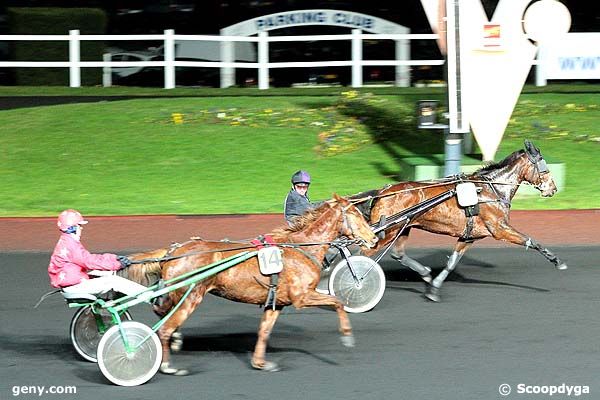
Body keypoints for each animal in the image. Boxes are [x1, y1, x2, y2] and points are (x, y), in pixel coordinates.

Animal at [129, 194, 378, 376]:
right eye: (355, 214)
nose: (374, 239)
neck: (302, 247)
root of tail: (174, 250)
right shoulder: (302, 297)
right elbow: (337, 301)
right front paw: (347, 335)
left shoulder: (276, 303)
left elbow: (264, 331)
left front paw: (260, 363)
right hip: (191, 295)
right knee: (165, 327)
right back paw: (167, 364)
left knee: (161, 310)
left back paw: (175, 339)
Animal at [360, 140, 568, 300]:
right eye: (543, 167)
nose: (553, 188)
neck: (490, 189)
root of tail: (382, 192)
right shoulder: (499, 228)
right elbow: (531, 241)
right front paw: (557, 260)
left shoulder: (469, 236)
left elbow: (452, 262)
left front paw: (434, 289)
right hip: (388, 231)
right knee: (364, 254)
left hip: (403, 227)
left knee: (398, 254)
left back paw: (425, 274)